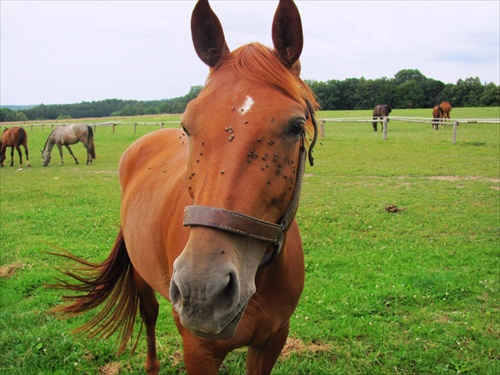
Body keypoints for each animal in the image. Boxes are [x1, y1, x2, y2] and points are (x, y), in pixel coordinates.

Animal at [50, 0, 320, 375]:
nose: (203, 290)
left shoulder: (272, 341)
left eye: (296, 126)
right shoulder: (198, 351)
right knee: (149, 315)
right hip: (142, 276)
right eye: (188, 126)